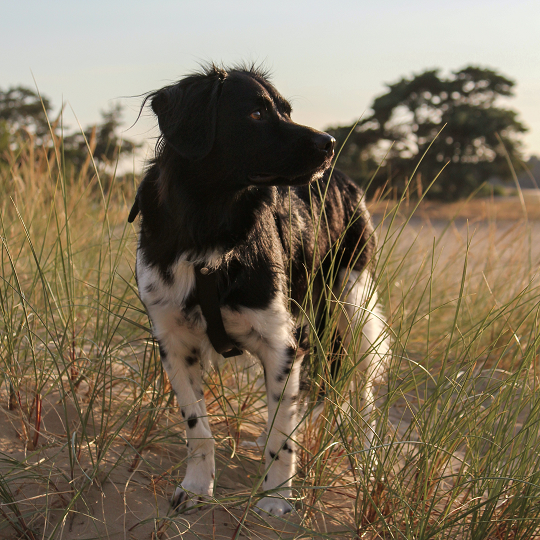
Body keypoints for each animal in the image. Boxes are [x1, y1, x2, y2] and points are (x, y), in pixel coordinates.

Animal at [127, 63, 388, 516]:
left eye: (286, 111)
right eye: (256, 113)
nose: (330, 143)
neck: (209, 225)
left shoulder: (281, 341)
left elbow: (282, 438)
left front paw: (275, 498)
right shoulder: (174, 341)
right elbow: (198, 428)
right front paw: (196, 487)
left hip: (352, 303)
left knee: (361, 394)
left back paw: (367, 460)